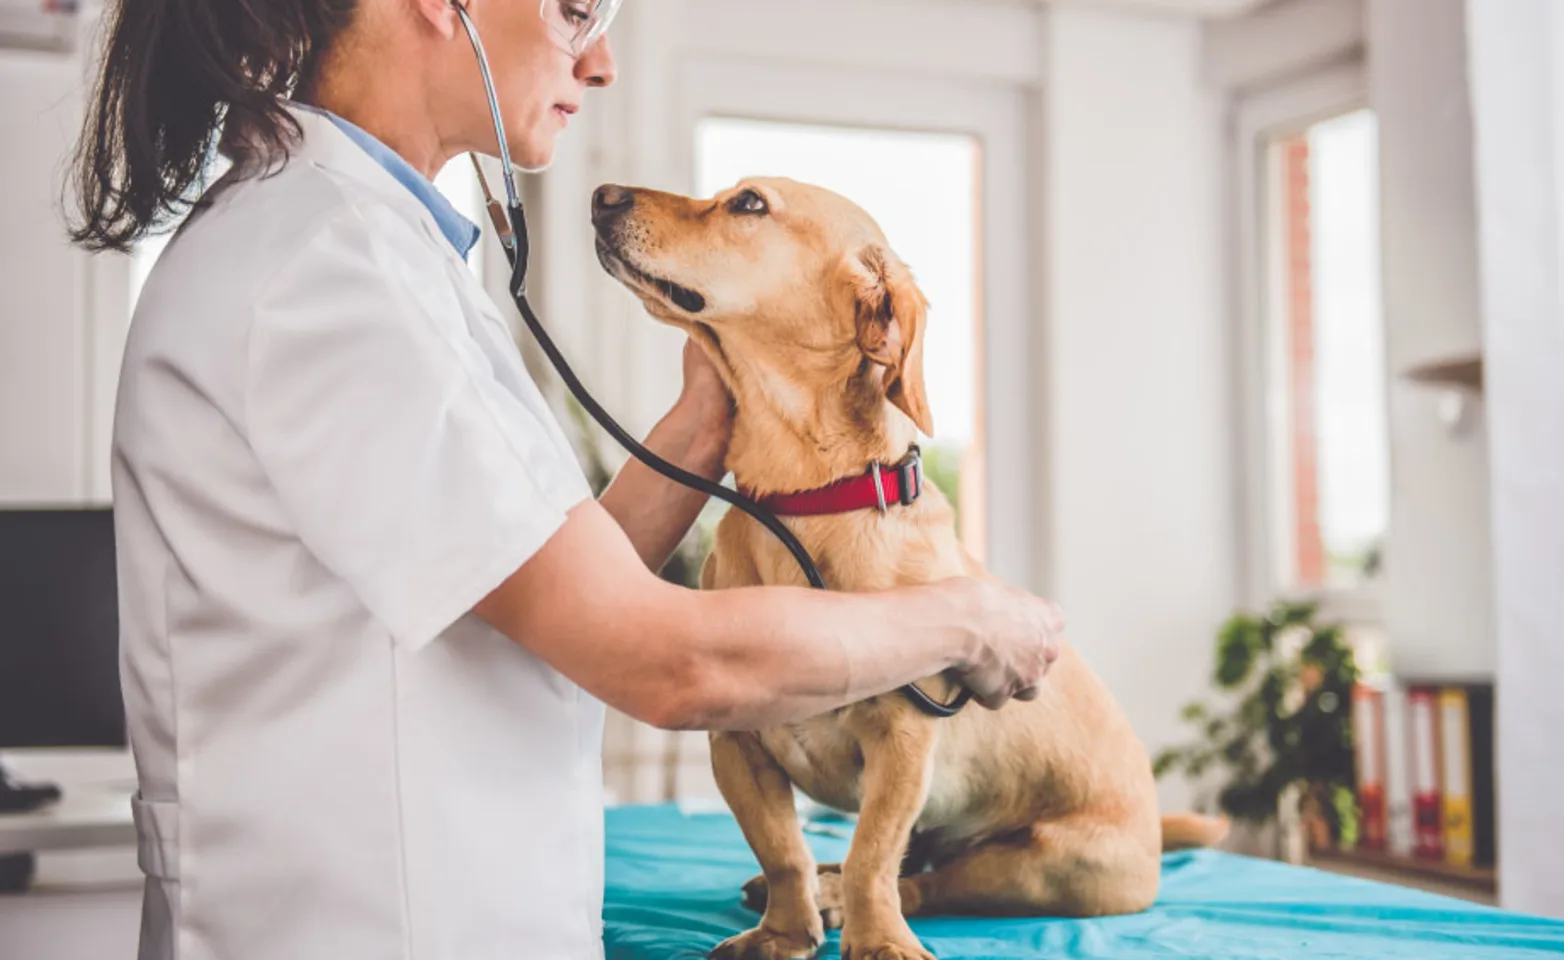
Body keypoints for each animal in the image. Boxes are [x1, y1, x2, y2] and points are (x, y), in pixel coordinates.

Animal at [588, 180, 1219, 960]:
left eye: (749, 203)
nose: (601, 195)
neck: (807, 501)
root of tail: (1156, 827)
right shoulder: (735, 745)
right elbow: (783, 849)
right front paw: (784, 932)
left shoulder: (904, 742)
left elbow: (872, 856)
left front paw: (876, 939)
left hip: (1048, 866)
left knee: (926, 881)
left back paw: (848, 900)